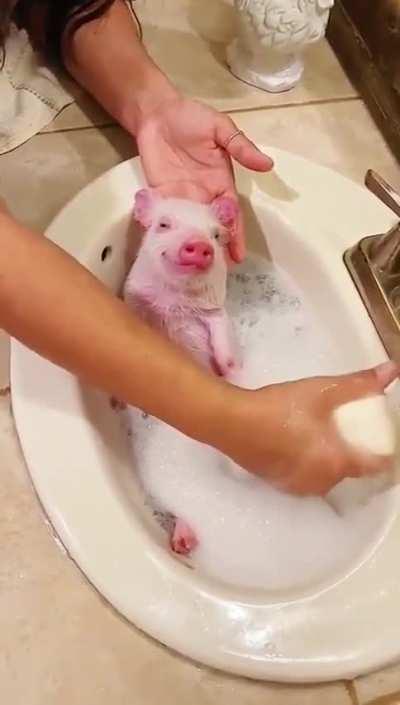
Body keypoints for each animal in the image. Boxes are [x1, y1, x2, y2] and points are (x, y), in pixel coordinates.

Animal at [123, 188, 241, 556]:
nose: (199, 244)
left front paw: (230, 367)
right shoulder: (134, 300)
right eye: (163, 224)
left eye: (215, 235)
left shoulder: (215, 312)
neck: (174, 303)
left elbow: (220, 331)